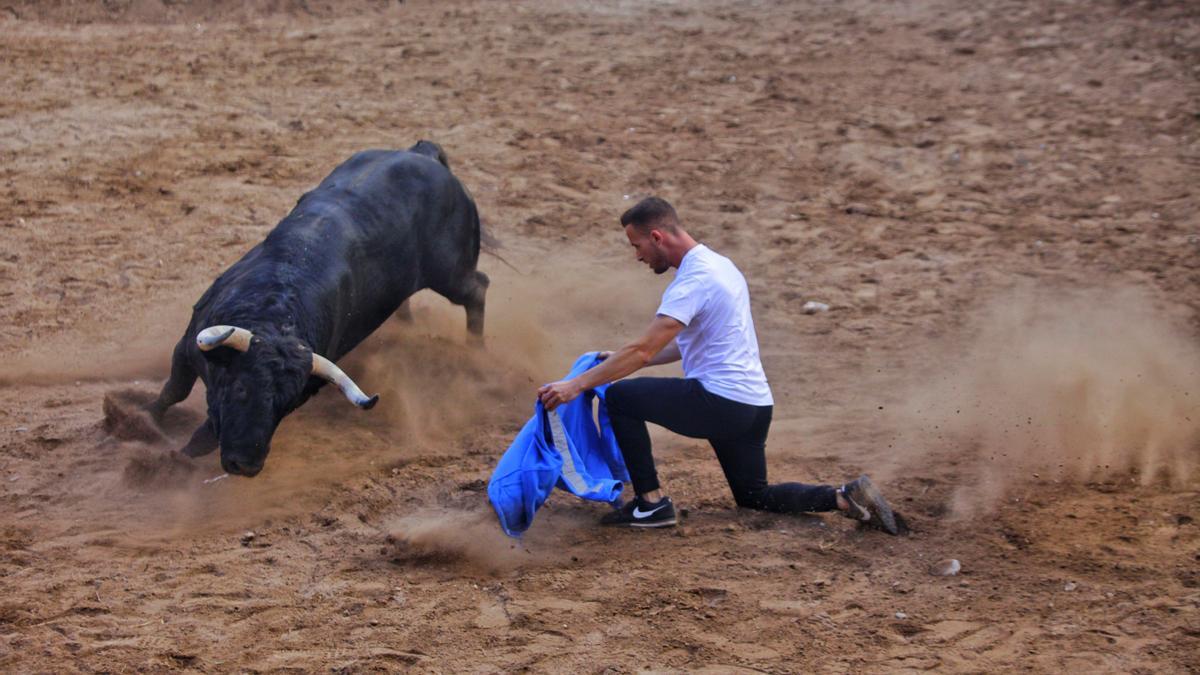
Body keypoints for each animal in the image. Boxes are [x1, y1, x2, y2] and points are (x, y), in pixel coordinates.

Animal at [145, 139, 487, 475]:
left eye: (287, 404)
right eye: (241, 388)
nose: (246, 465)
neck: (276, 309)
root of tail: (424, 154)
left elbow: (203, 436)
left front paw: (169, 463)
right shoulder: (187, 348)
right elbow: (173, 391)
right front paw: (146, 420)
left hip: (449, 272)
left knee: (477, 289)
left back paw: (476, 352)